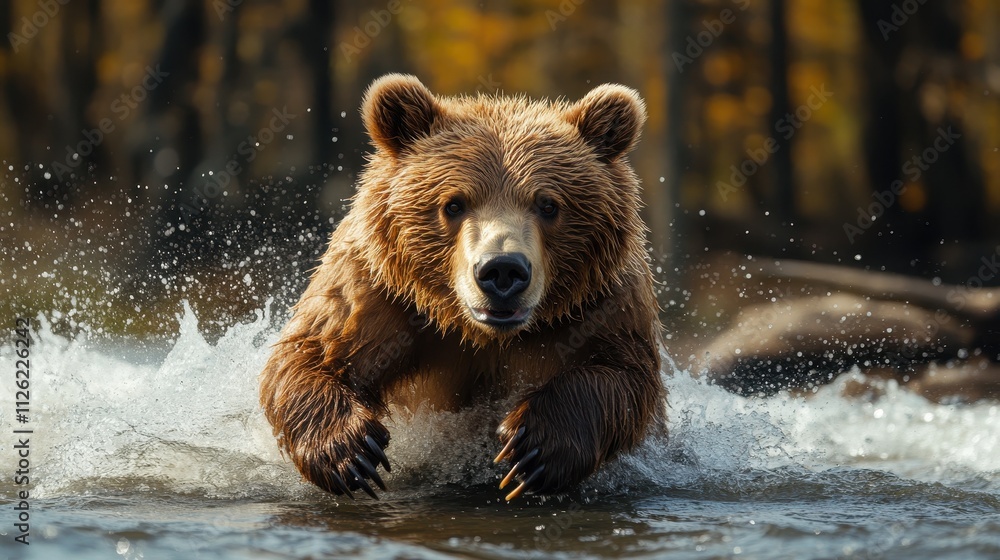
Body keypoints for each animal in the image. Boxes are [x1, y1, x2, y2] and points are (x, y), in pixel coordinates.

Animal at [259, 74, 664, 501]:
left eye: (548, 204)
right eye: (453, 204)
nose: (502, 270)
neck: (480, 332)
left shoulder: (600, 300)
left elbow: (622, 374)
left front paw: (530, 447)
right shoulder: (383, 294)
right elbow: (310, 354)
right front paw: (353, 452)